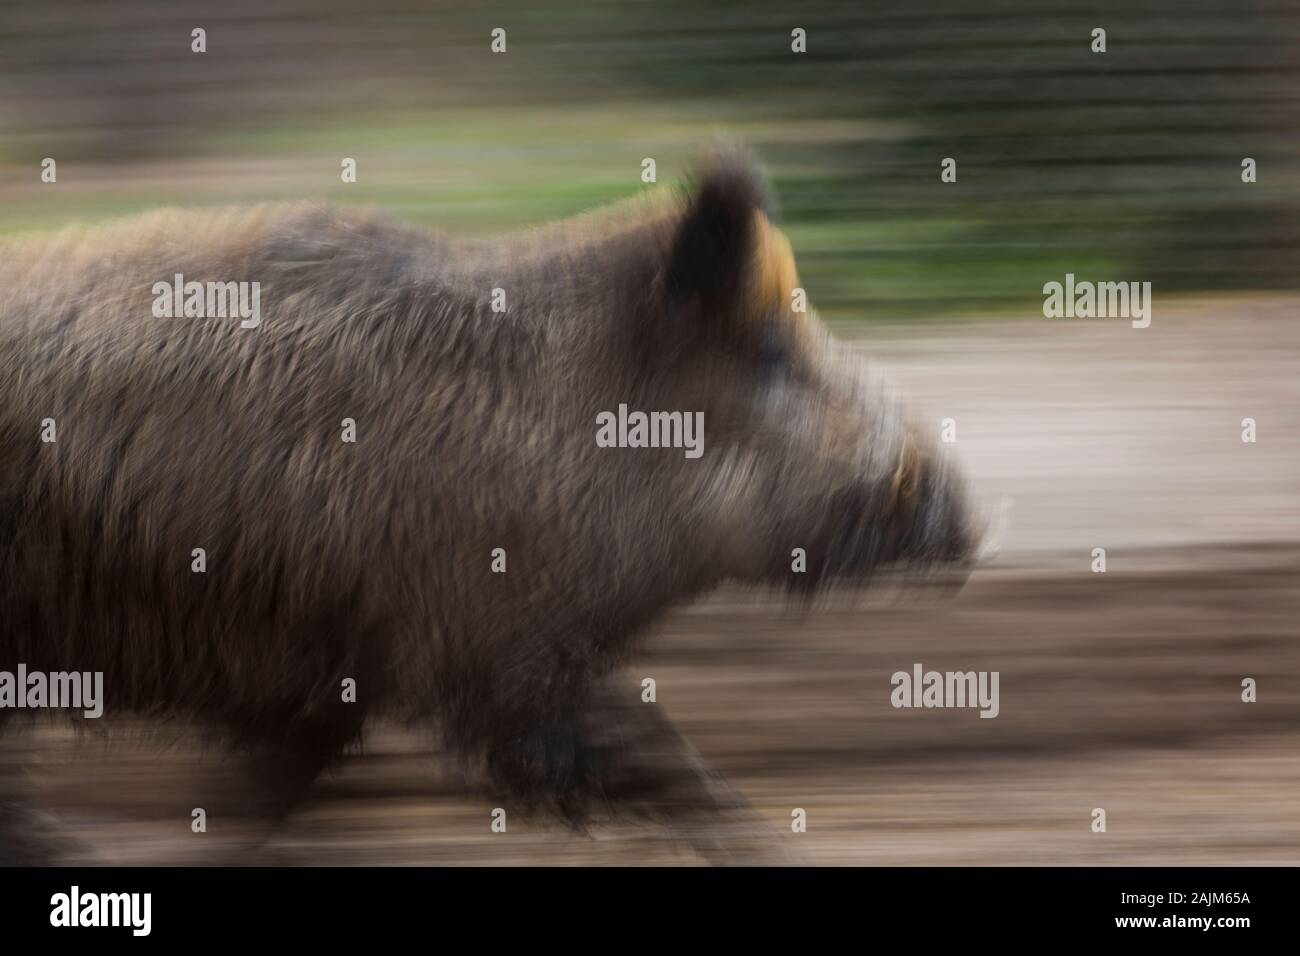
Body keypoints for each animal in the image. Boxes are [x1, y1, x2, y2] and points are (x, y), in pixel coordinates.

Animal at [0, 152, 981, 863]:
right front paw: (766, 849)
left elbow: (266, 797)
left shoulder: (340, 678)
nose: (964, 511)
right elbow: (652, 755)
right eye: (775, 351)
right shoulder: (495, 653)